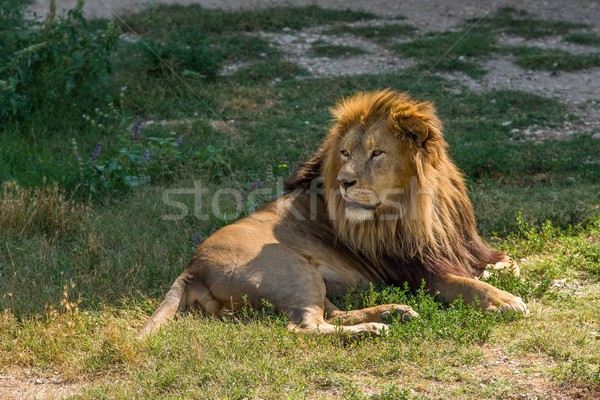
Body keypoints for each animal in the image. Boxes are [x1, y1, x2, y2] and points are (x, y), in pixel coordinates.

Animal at [139, 89, 524, 336]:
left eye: (376, 153)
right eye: (344, 152)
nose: (343, 181)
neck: (425, 203)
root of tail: (192, 267)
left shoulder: (465, 247)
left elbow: (509, 263)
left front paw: (500, 275)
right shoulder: (417, 272)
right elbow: (464, 283)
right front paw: (504, 300)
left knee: (331, 313)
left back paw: (393, 312)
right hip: (292, 268)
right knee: (304, 326)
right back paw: (372, 328)